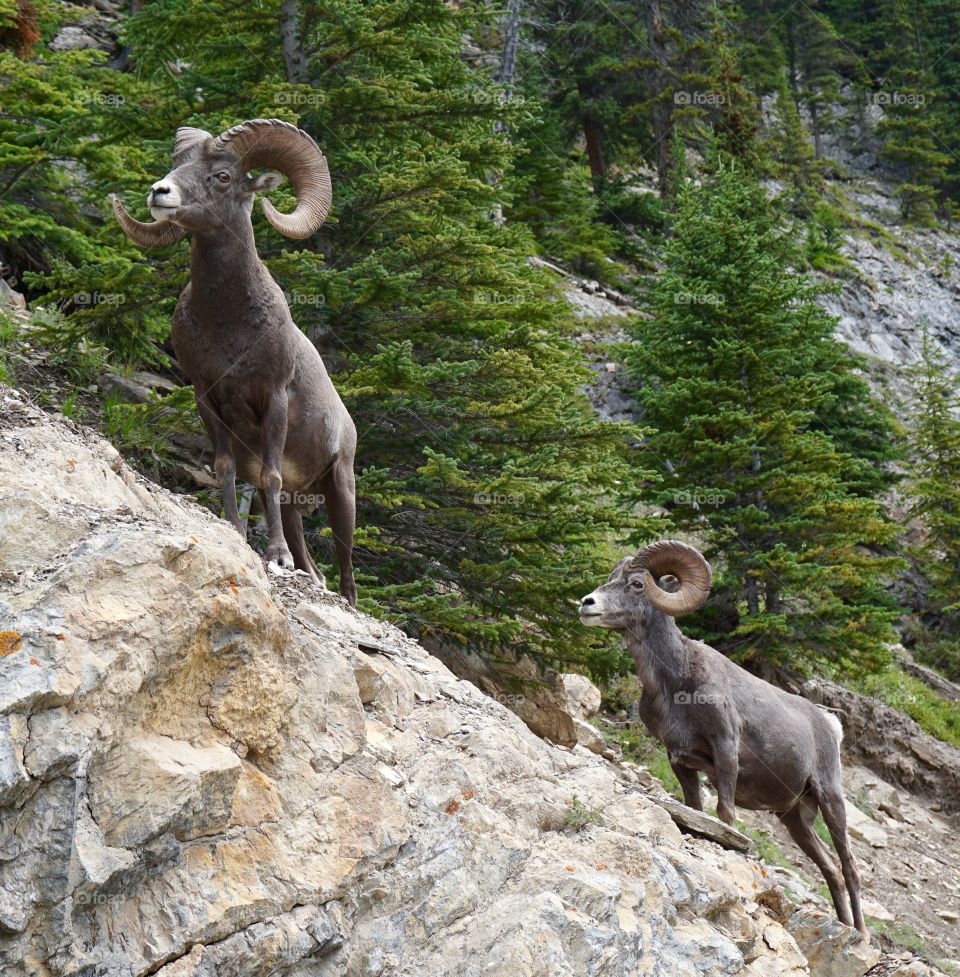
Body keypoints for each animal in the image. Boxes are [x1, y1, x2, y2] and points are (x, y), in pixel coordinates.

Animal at [112, 119, 356, 605]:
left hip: (342, 491)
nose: (159, 192)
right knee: (310, 557)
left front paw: (276, 558)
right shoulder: (207, 399)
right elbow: (225, 469)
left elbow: (272, 474)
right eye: (178, 165)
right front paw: (235, 531)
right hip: (301, 504)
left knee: (347, 576)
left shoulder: (273, 400)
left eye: (222, 176)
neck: (229, 325)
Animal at [579, 540, 867, 937]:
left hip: (829, 798)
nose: (587, 603)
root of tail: (829, 725)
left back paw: (862, 934)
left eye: (637, 584)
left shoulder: (725, 751)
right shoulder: (680, 760)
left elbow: (725, 816)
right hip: (794, 819)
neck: (675, 684)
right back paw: (843, 929)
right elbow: (697, 811)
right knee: (831, 871)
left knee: (849, 867)